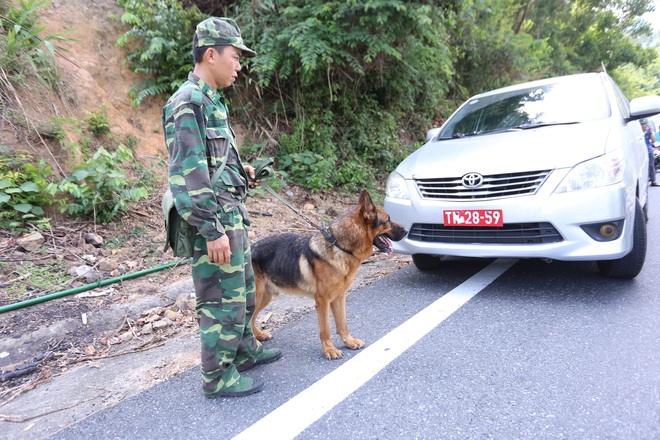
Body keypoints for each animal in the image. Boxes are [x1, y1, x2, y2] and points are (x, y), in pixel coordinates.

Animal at [251, 189, 408, 358]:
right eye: (388, 220)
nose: (407, 230)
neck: (340, 246)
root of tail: (250, 248)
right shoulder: (323, 301)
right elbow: (325, 329)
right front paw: (329, 350)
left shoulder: (339, 297)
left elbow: (342, 323)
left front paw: (349, 341)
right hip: (256, 297)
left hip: (264, 297)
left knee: (252, 319)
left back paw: (258, 336)